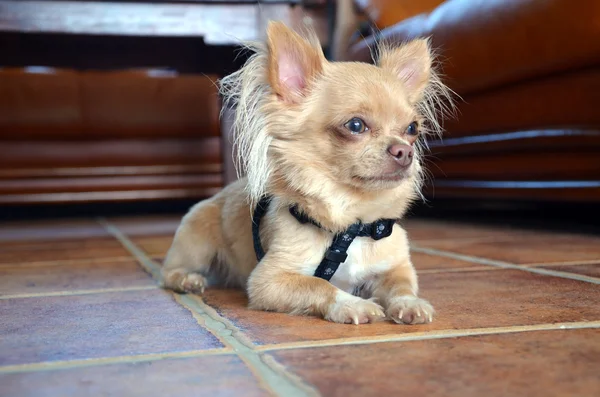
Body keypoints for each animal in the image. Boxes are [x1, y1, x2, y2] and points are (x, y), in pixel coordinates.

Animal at [162, 21, 452, 324]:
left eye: (412, 129)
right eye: (356, 125)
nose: (404, 152)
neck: (352, 222)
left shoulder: (395, 266)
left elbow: (401, 285)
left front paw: (410, 303)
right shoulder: (268, 280)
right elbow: (318, 285)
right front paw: (353, 304)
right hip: (196, 243)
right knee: (169, 272)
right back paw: (186, 279)